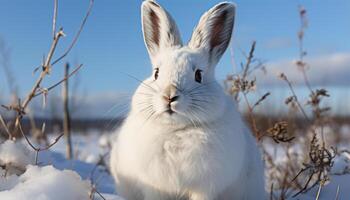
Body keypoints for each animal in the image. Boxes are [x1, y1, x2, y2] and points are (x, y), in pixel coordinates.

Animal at [110, 0, 264, 199]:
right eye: (156, 73)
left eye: (198, 75)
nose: (169, 96)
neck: (176, 130)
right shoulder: (155, 187)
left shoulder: (204, 188)